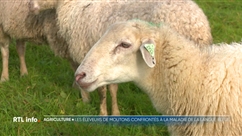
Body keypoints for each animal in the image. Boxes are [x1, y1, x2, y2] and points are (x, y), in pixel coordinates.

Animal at [29, 0, 213, 116]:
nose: (31, 6)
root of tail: (197, 23)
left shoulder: (90, 57)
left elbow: (101, 90)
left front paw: (102, 113)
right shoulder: (109, 65)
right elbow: (112, 88)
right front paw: (115, 113)